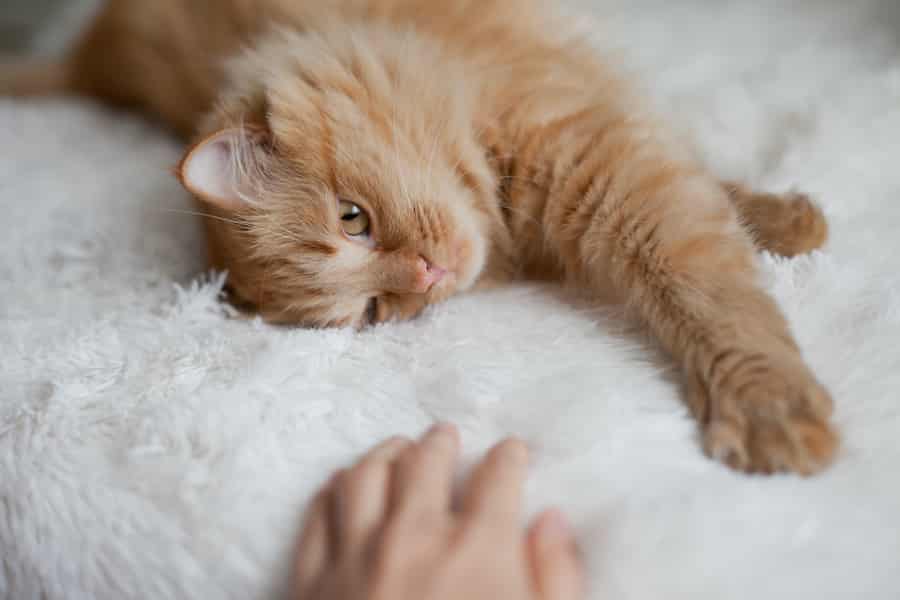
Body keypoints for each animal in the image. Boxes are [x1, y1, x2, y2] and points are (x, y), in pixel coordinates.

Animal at [0, 0, 836, 476]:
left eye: (353, 219)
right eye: (372, 311)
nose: (427, 278)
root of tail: (90, 60)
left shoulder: (603, 157)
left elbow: (704, 278)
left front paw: (771, 401)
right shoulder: (609, 168)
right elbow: (704, 235)